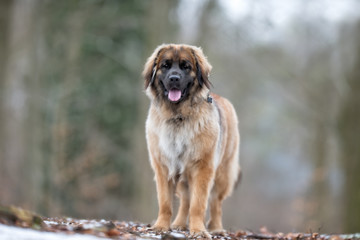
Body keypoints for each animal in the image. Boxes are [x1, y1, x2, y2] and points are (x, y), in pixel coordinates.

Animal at [143, 43, 242, 238]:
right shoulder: (164, 167)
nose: (174, 78)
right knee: (185, 201)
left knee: (215, 202)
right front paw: (161, 226)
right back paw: (180, 224)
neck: (178, 117)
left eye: (186, 66)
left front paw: (198, 231)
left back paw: (216, 227)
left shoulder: (202, 167)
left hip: (222, 174)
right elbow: (165, 203)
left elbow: (198, 204)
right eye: (165, 66)